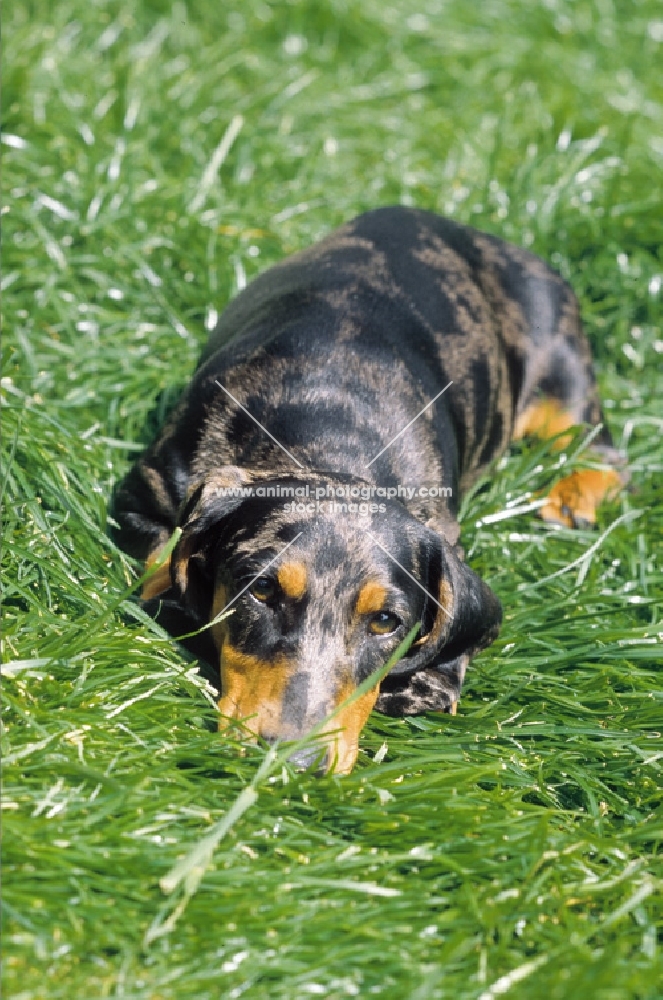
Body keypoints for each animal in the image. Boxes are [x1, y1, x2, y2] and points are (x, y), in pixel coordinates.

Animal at [111, 205, 624, 772]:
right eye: (261, 590)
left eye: (385, 621)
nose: (293, 762)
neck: (328, 433)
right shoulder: (144, 497)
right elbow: (164, 556)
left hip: (563, 367)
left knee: (601, 449)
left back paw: (573, 497)